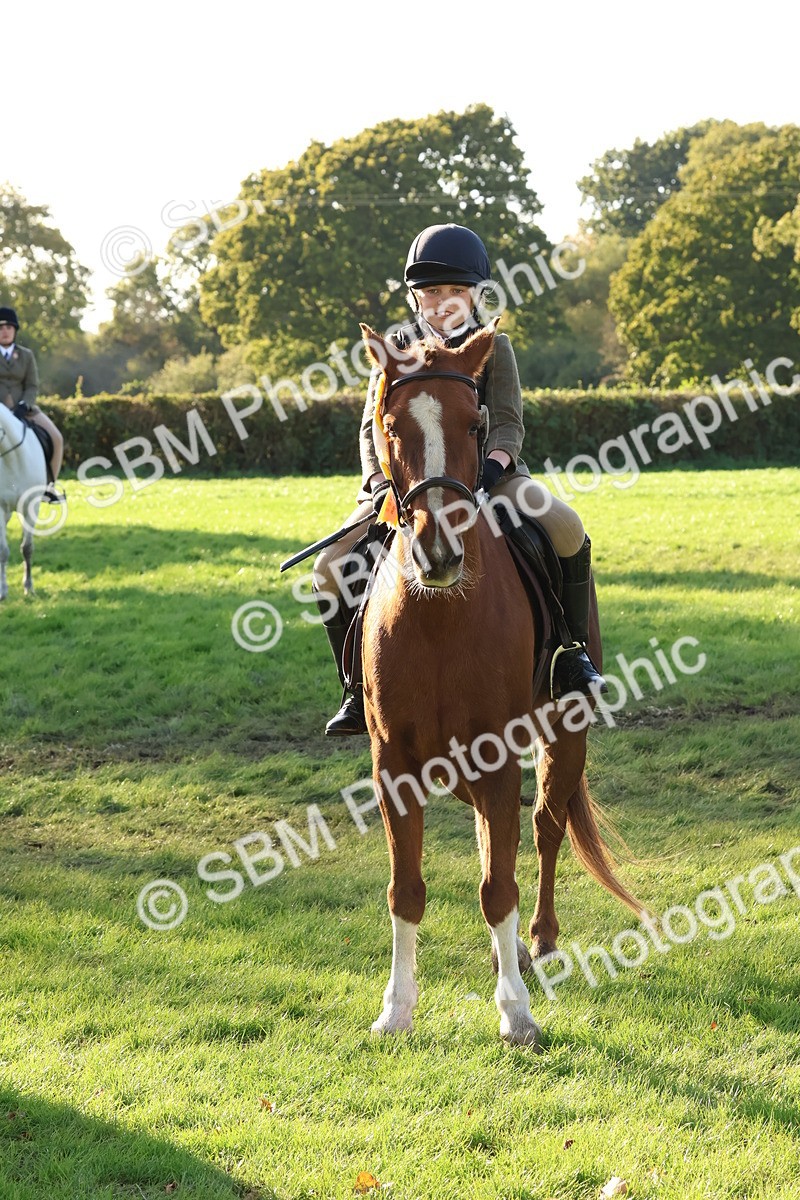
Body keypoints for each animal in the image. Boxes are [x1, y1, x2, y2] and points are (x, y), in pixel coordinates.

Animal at [358, 322, 641, 1048]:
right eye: (391, 425)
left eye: (475, 421)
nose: (437, 554)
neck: (439, 616)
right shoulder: (393, 764)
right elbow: (406, 888)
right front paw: (396, 1009)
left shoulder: (496, 753)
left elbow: (498, 886)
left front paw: (516, 1012)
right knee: (499, 836)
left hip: (563, 731)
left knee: (542, 828)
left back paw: (537, 942)